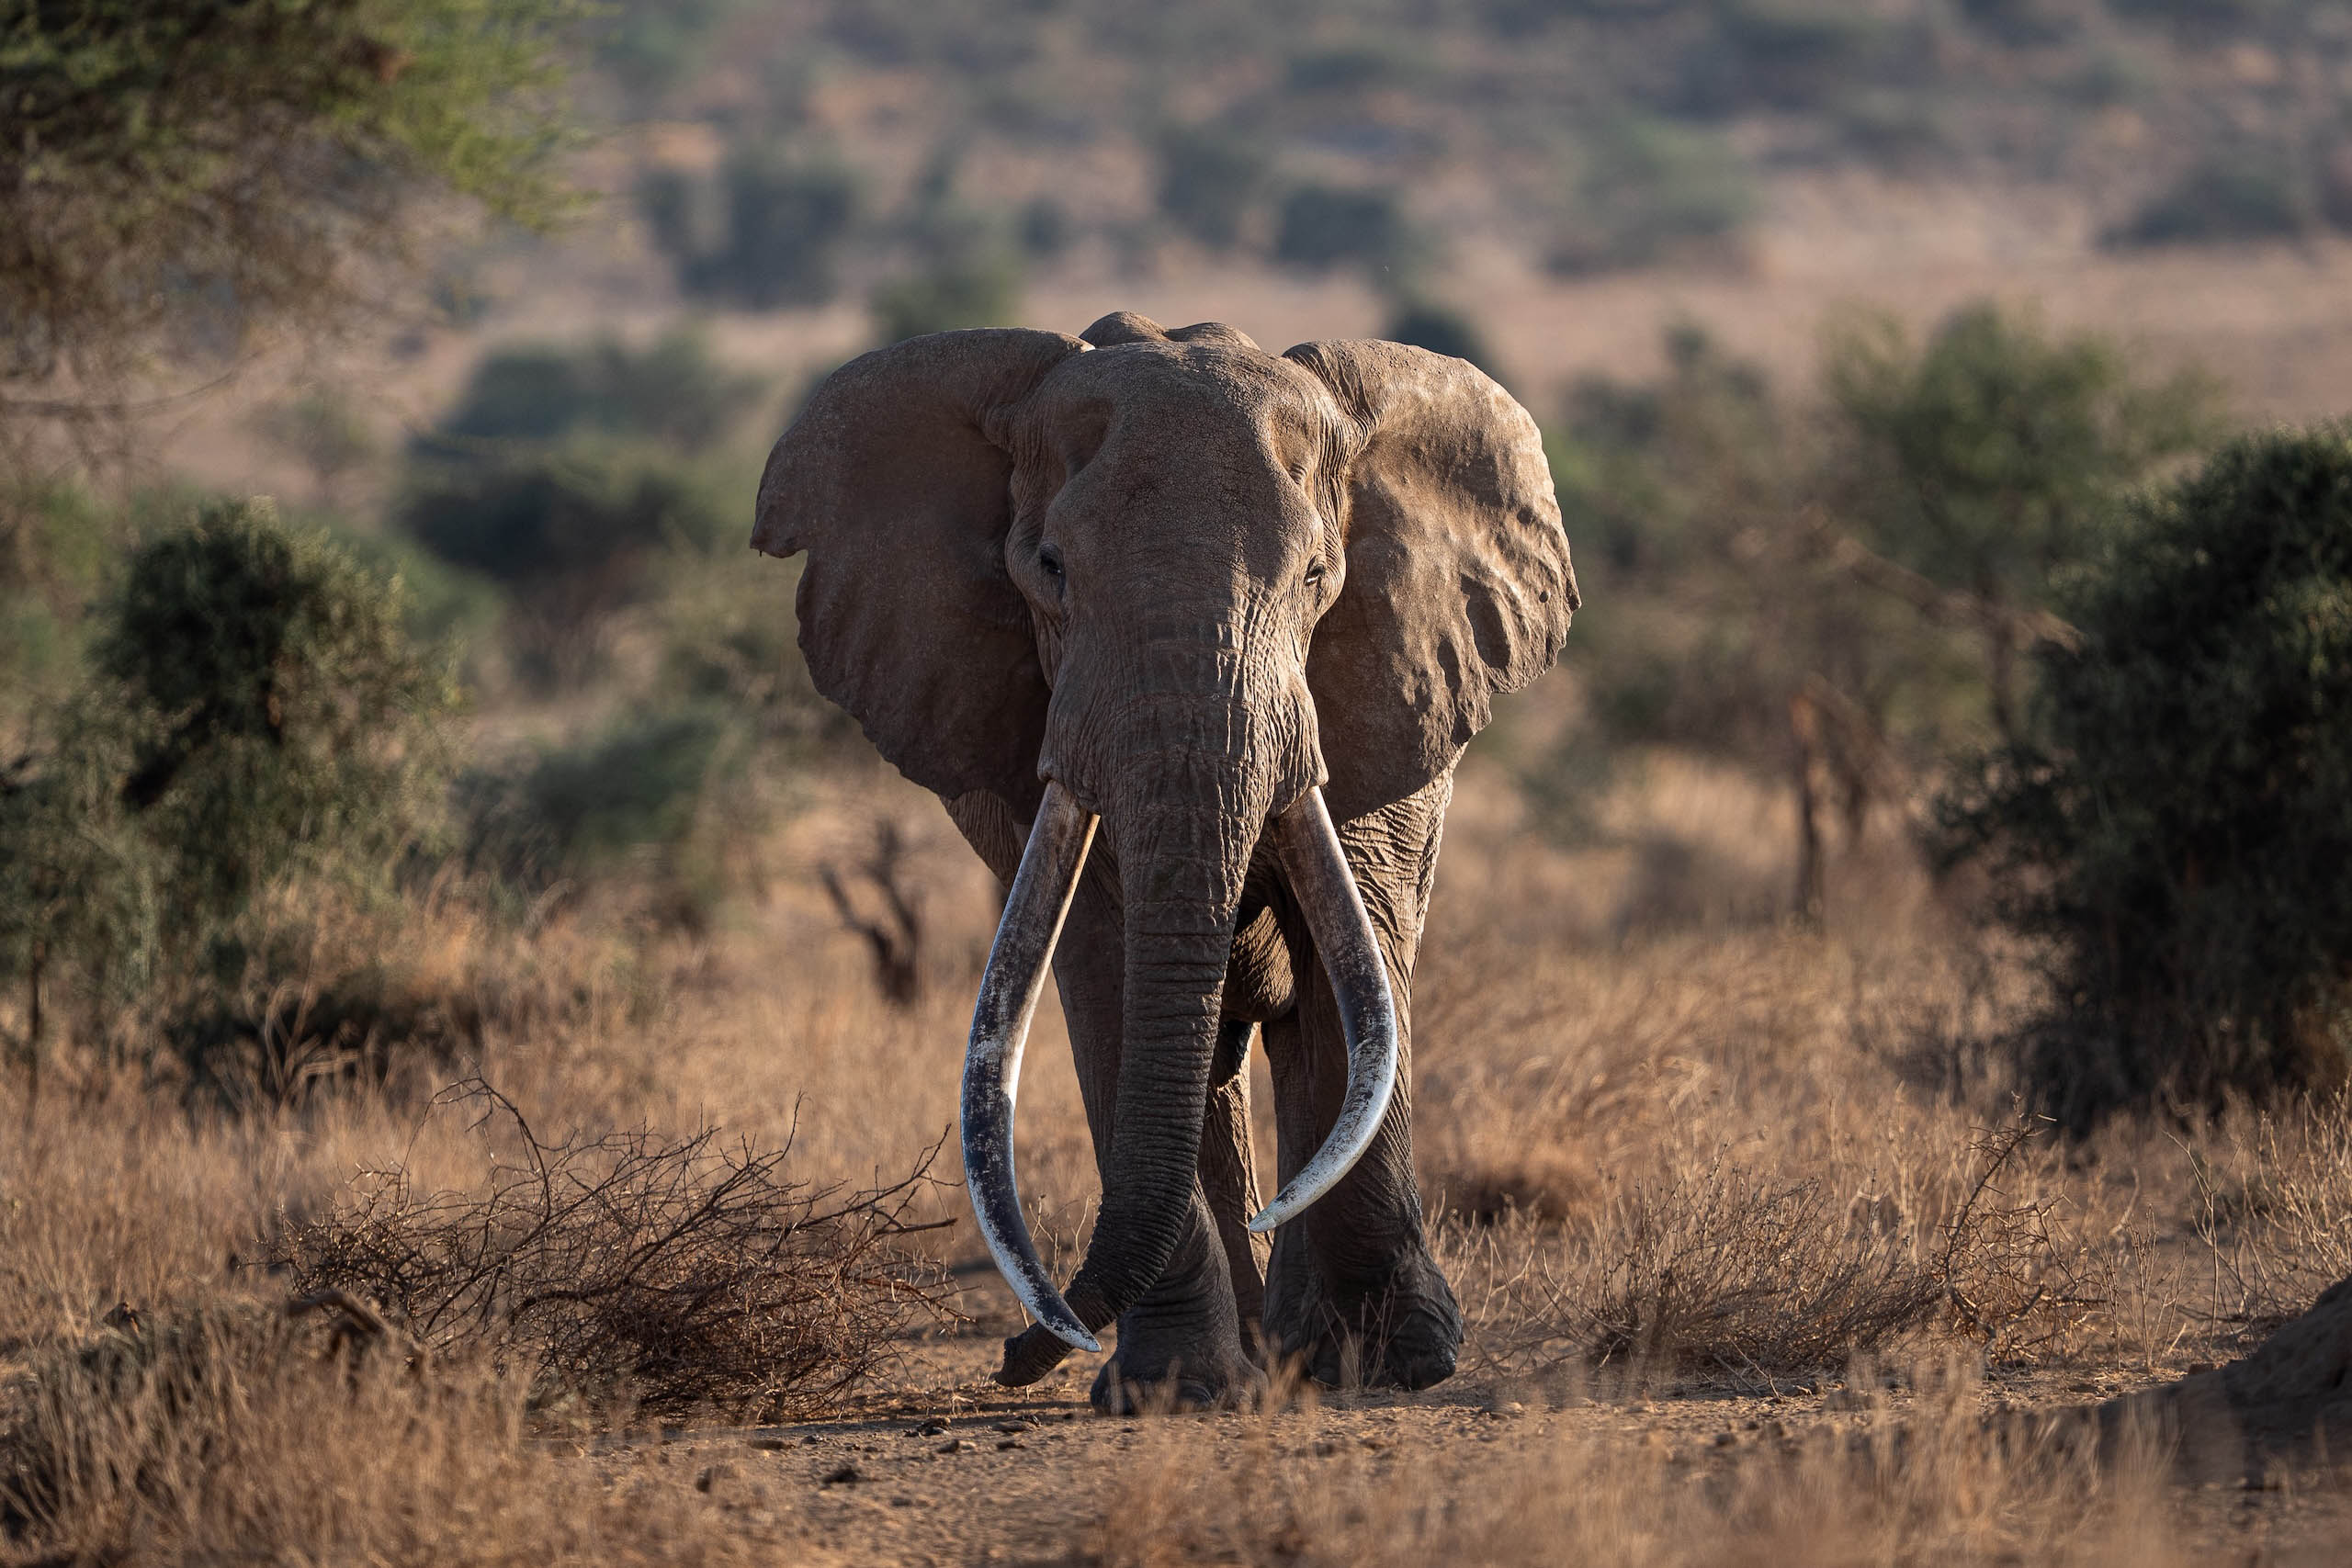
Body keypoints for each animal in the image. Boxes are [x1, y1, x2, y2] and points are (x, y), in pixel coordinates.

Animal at [751, 311, 1576, 1411]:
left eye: (1318, 578)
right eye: (1050, 567)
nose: (1017, 1352)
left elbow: (1348, 963)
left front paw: (1394, 1368)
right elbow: (1107, 966)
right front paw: (1176, 1392)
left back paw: (1305, 1349)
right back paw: (1254, 1355)